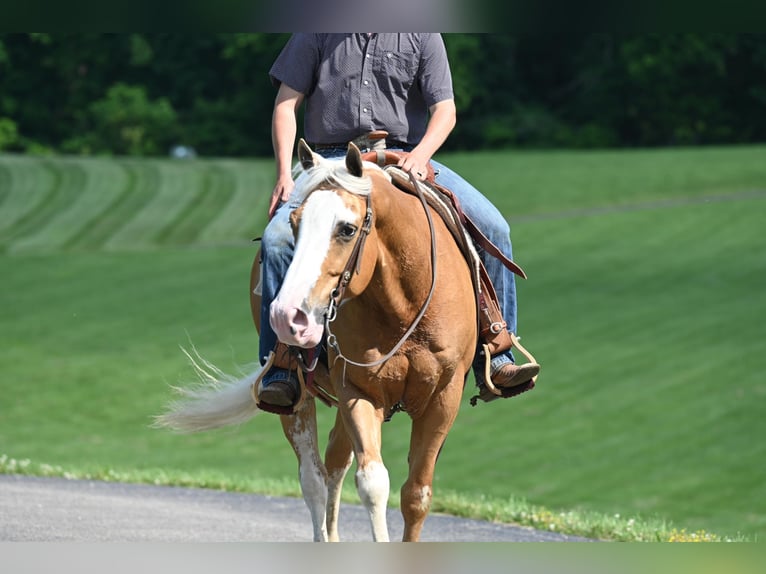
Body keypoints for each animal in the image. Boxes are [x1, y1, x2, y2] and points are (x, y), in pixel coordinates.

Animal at [155, 142, 476, 544]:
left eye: (347, 229)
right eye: (294, 223)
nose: (287, 315)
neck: (404, 307)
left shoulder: (443, 398)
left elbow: (416, 494)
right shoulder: (357, 391)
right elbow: (372, 483)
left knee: (335, 463)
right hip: (295, 396)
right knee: (315, 479)